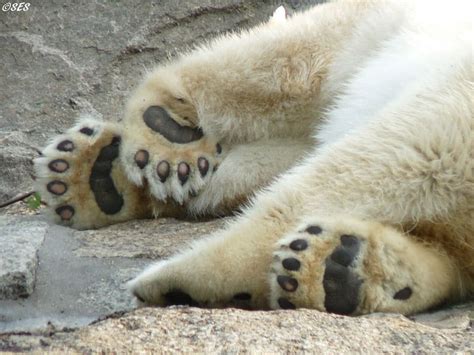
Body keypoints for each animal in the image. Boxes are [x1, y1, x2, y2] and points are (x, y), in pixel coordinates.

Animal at [35, 0, 472, 316]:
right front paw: (112, 172)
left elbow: (285, 69)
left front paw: (167, 134)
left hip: (453, 108)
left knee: (385, 158)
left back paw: (181, 275)